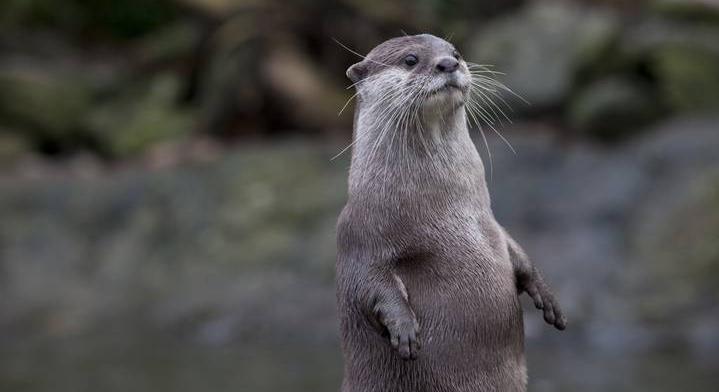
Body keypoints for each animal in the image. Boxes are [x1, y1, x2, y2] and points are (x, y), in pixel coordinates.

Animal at [338, 34, 568, 392]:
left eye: (455, 52)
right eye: (410, 59)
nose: (448, 63)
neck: (446, 211)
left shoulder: (491, 224)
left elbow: (517, 252)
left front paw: (548, 296)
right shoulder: (359, 237)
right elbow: (367, 283)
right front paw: (405, 329)